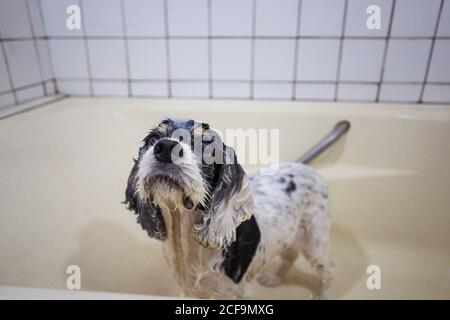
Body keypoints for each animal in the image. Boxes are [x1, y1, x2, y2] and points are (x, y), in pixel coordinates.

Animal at [125, 118, 332, 300]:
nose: (166, 147)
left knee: (328, 271)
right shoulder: (190, 291)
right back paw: (275, 277)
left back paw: (321, 295)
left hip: (314, 242)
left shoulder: (231, 292)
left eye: (207, 144)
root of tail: (304, 167)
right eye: (153, 138)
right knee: (291, 255)